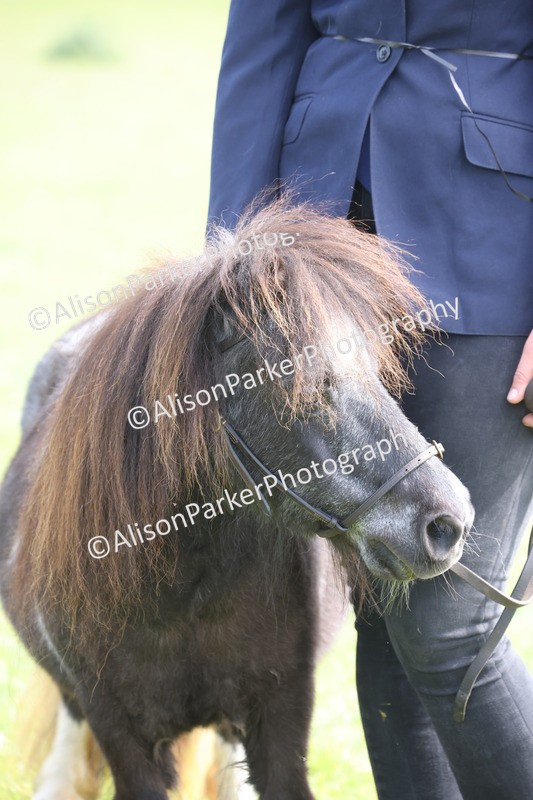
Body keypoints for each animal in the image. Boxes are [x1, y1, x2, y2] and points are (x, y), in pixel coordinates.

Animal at [0, 198, 474, 800]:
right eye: (309, 384)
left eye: (377, 371)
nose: (450, 522)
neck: (180, 589)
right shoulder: (119, 733)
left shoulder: (280, 720)